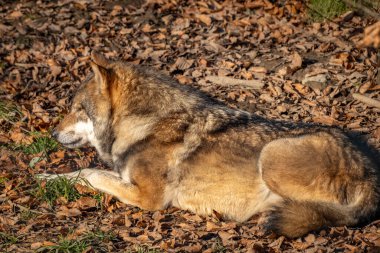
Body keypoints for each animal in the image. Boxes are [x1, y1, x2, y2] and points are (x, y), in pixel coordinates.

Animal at [40, 51, 378, 237]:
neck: (143, 123)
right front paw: (49, 178)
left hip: (270, 156)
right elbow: (84, 171)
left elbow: (93, 173)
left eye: (77, 109)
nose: (53, 134)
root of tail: (370, 171)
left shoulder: (148, 197)